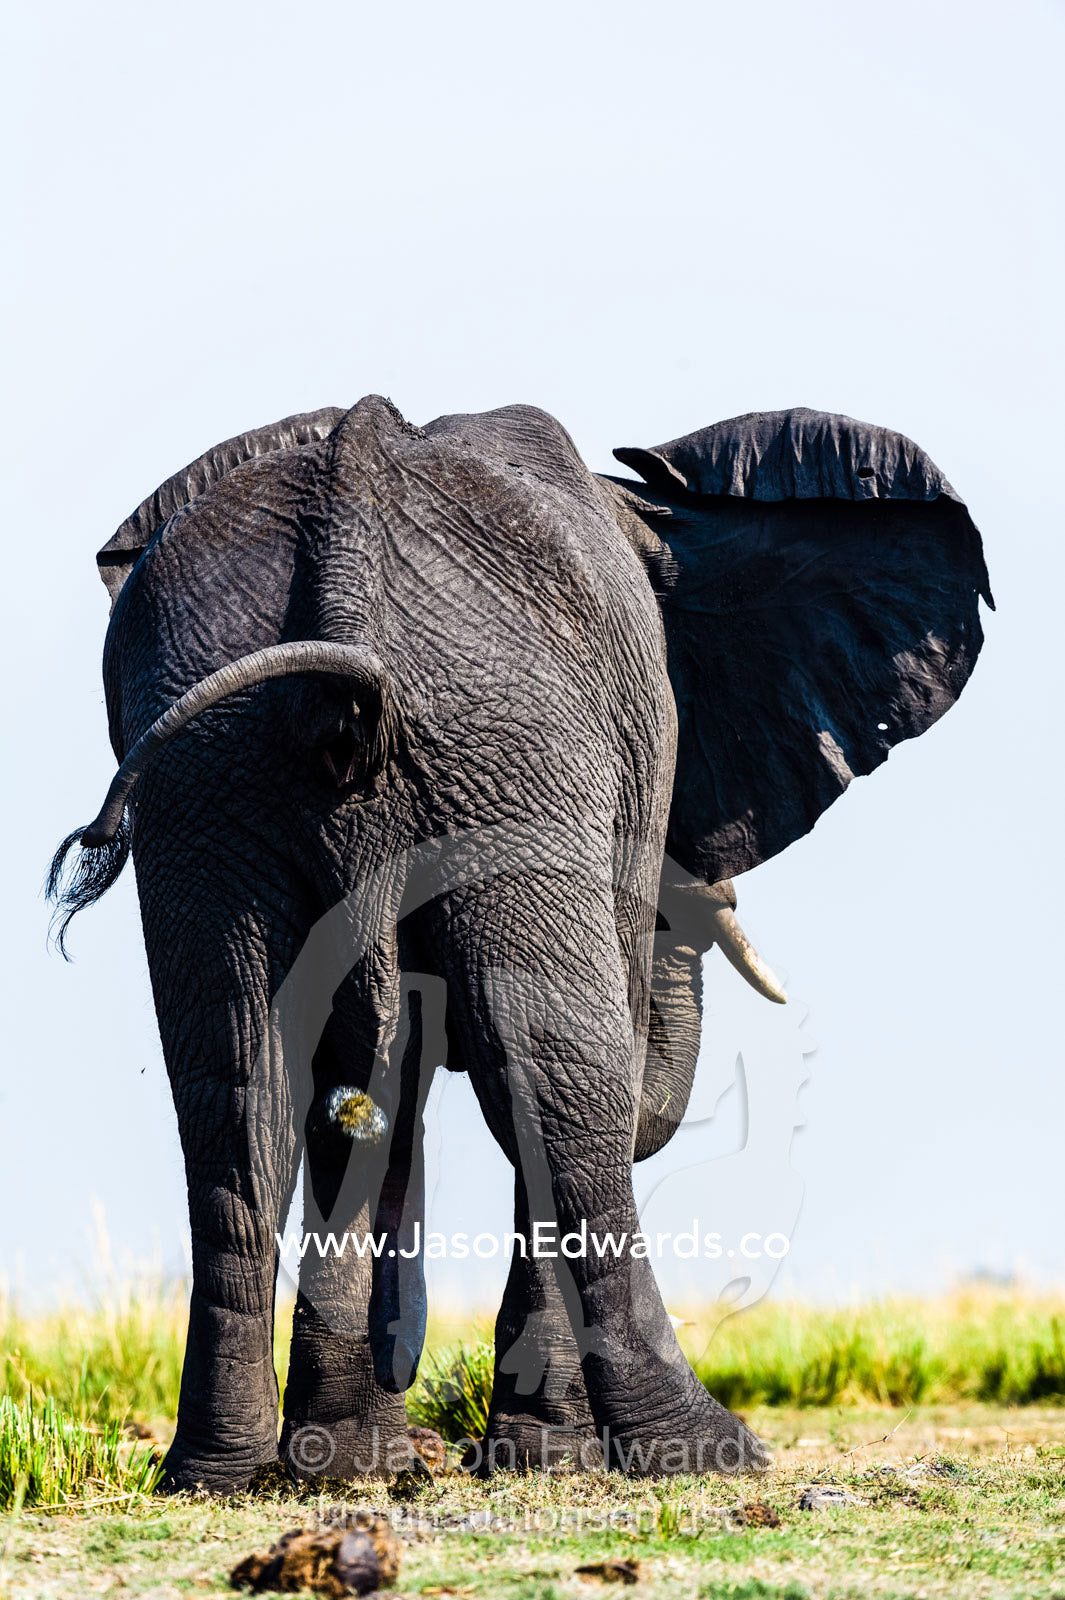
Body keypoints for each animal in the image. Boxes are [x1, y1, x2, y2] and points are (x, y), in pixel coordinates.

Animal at [50, 395, 990, 1490]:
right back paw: (709, 1453)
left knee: (241, 1088)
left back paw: (225, 1476)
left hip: (217, 774)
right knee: (554, 1075)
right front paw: (544, 1461)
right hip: (505, 741)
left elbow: (371, 1079)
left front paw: (358, 1464)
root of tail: (348, 499)